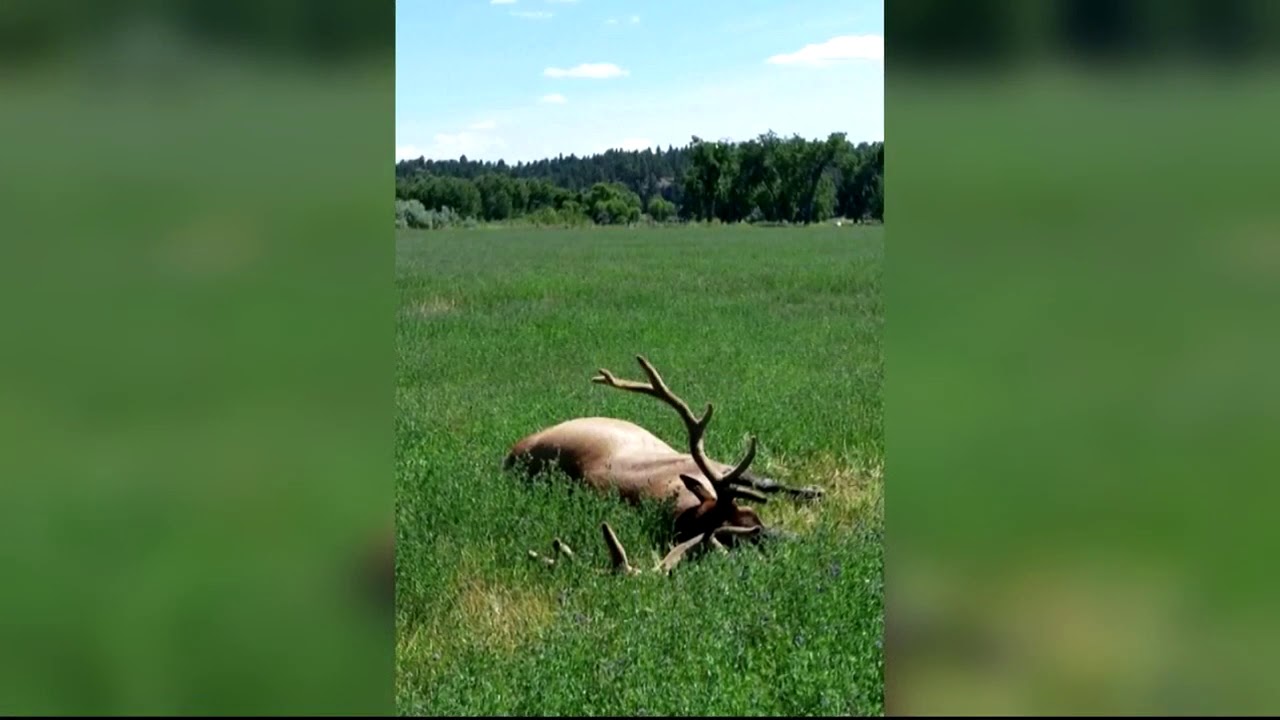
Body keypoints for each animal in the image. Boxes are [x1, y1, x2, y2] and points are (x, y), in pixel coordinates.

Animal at [504, 355, 823, 576]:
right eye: (746, 535)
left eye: (753, 516)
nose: (798, 540)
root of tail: (511, 453)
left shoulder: (703, 463)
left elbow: (766, 481)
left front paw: (814, 491)